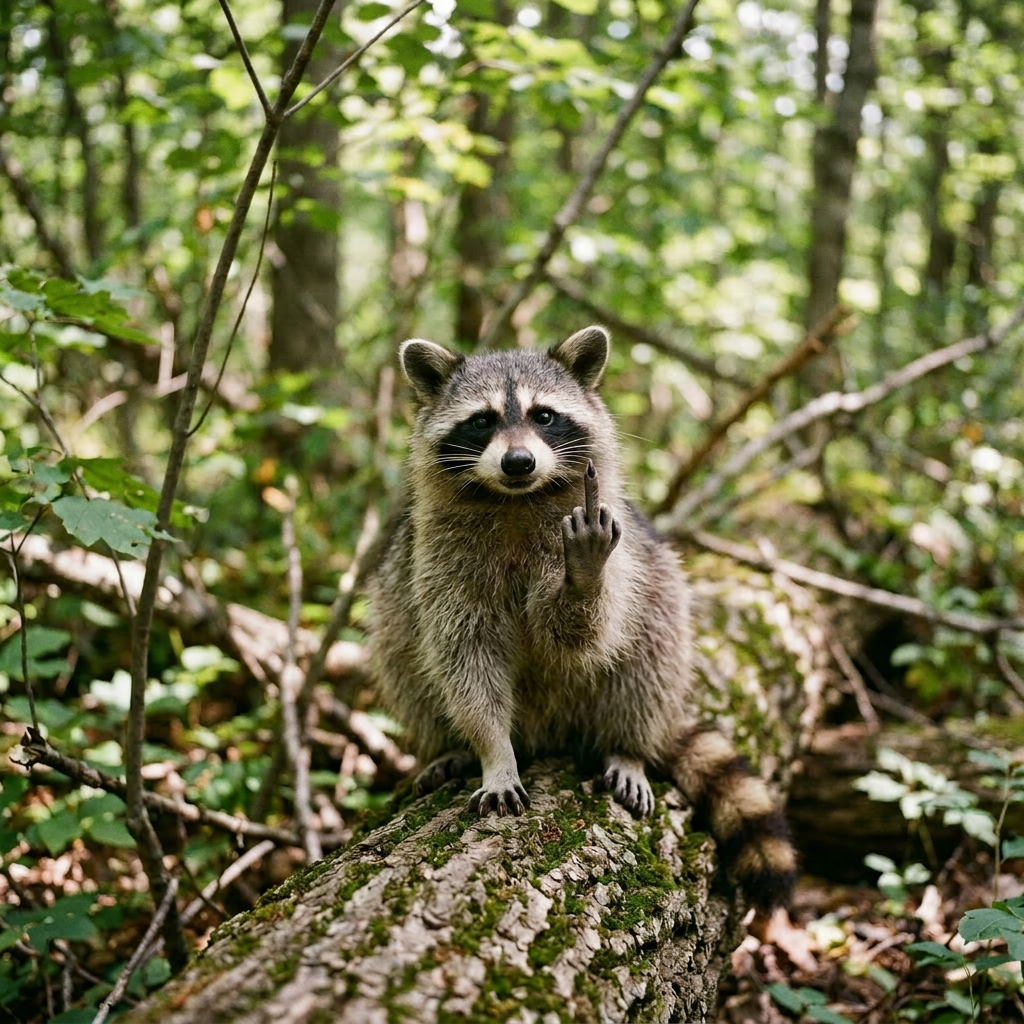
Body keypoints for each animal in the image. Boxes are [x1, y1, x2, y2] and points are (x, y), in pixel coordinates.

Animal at [367, 325, 797, 911]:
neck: (515, 499)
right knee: (401, 653)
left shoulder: (613, 544)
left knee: (650, 650)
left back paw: (628, 745)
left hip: (654, 592)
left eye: (544, 415)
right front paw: (493, 751)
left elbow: (583, 634)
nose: (518, 462)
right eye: (482, 420)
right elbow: (465, 657)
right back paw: (447, 745)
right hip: (396, 597)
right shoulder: (439, 558)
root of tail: (549, 729)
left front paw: (582, 578)